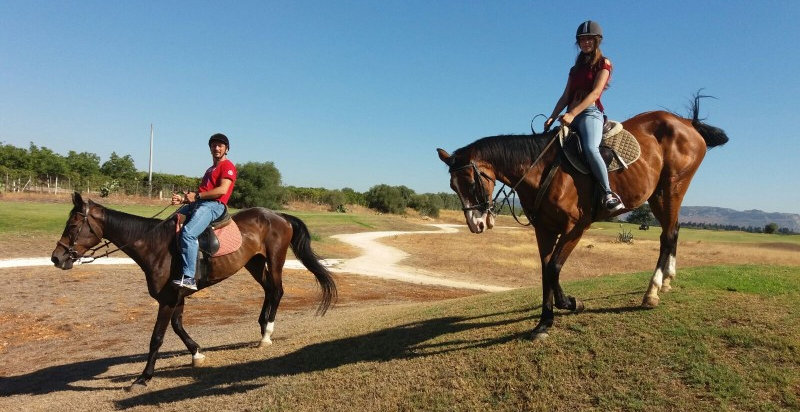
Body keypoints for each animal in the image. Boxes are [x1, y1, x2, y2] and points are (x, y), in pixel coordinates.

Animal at [49, 192, 338, 386]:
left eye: (72, 226)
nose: (56, 258)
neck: (155, 245)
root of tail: (279, 215)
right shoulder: (177, 297)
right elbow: (178, 327)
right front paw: (197, 353)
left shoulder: (167, 300)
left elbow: (157, 337)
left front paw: (144, 376)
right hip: (254, 263)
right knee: (268, 290)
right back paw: (261, 326)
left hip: (275, 259)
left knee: (277, 291)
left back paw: (267, 334)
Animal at [438, 97, 732, 338]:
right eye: (453, 186)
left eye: (470, 181)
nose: (475, 224)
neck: (542, 169)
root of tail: (687, 123)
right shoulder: (544, 229)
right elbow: (546, 271)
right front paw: (544, 322)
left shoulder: (576, 227)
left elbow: (554, 268)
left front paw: (570, 303)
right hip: (660, 193)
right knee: (673, 230)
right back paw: (668, 280)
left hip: (671, 188)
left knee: (668, 233)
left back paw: (652, 291)